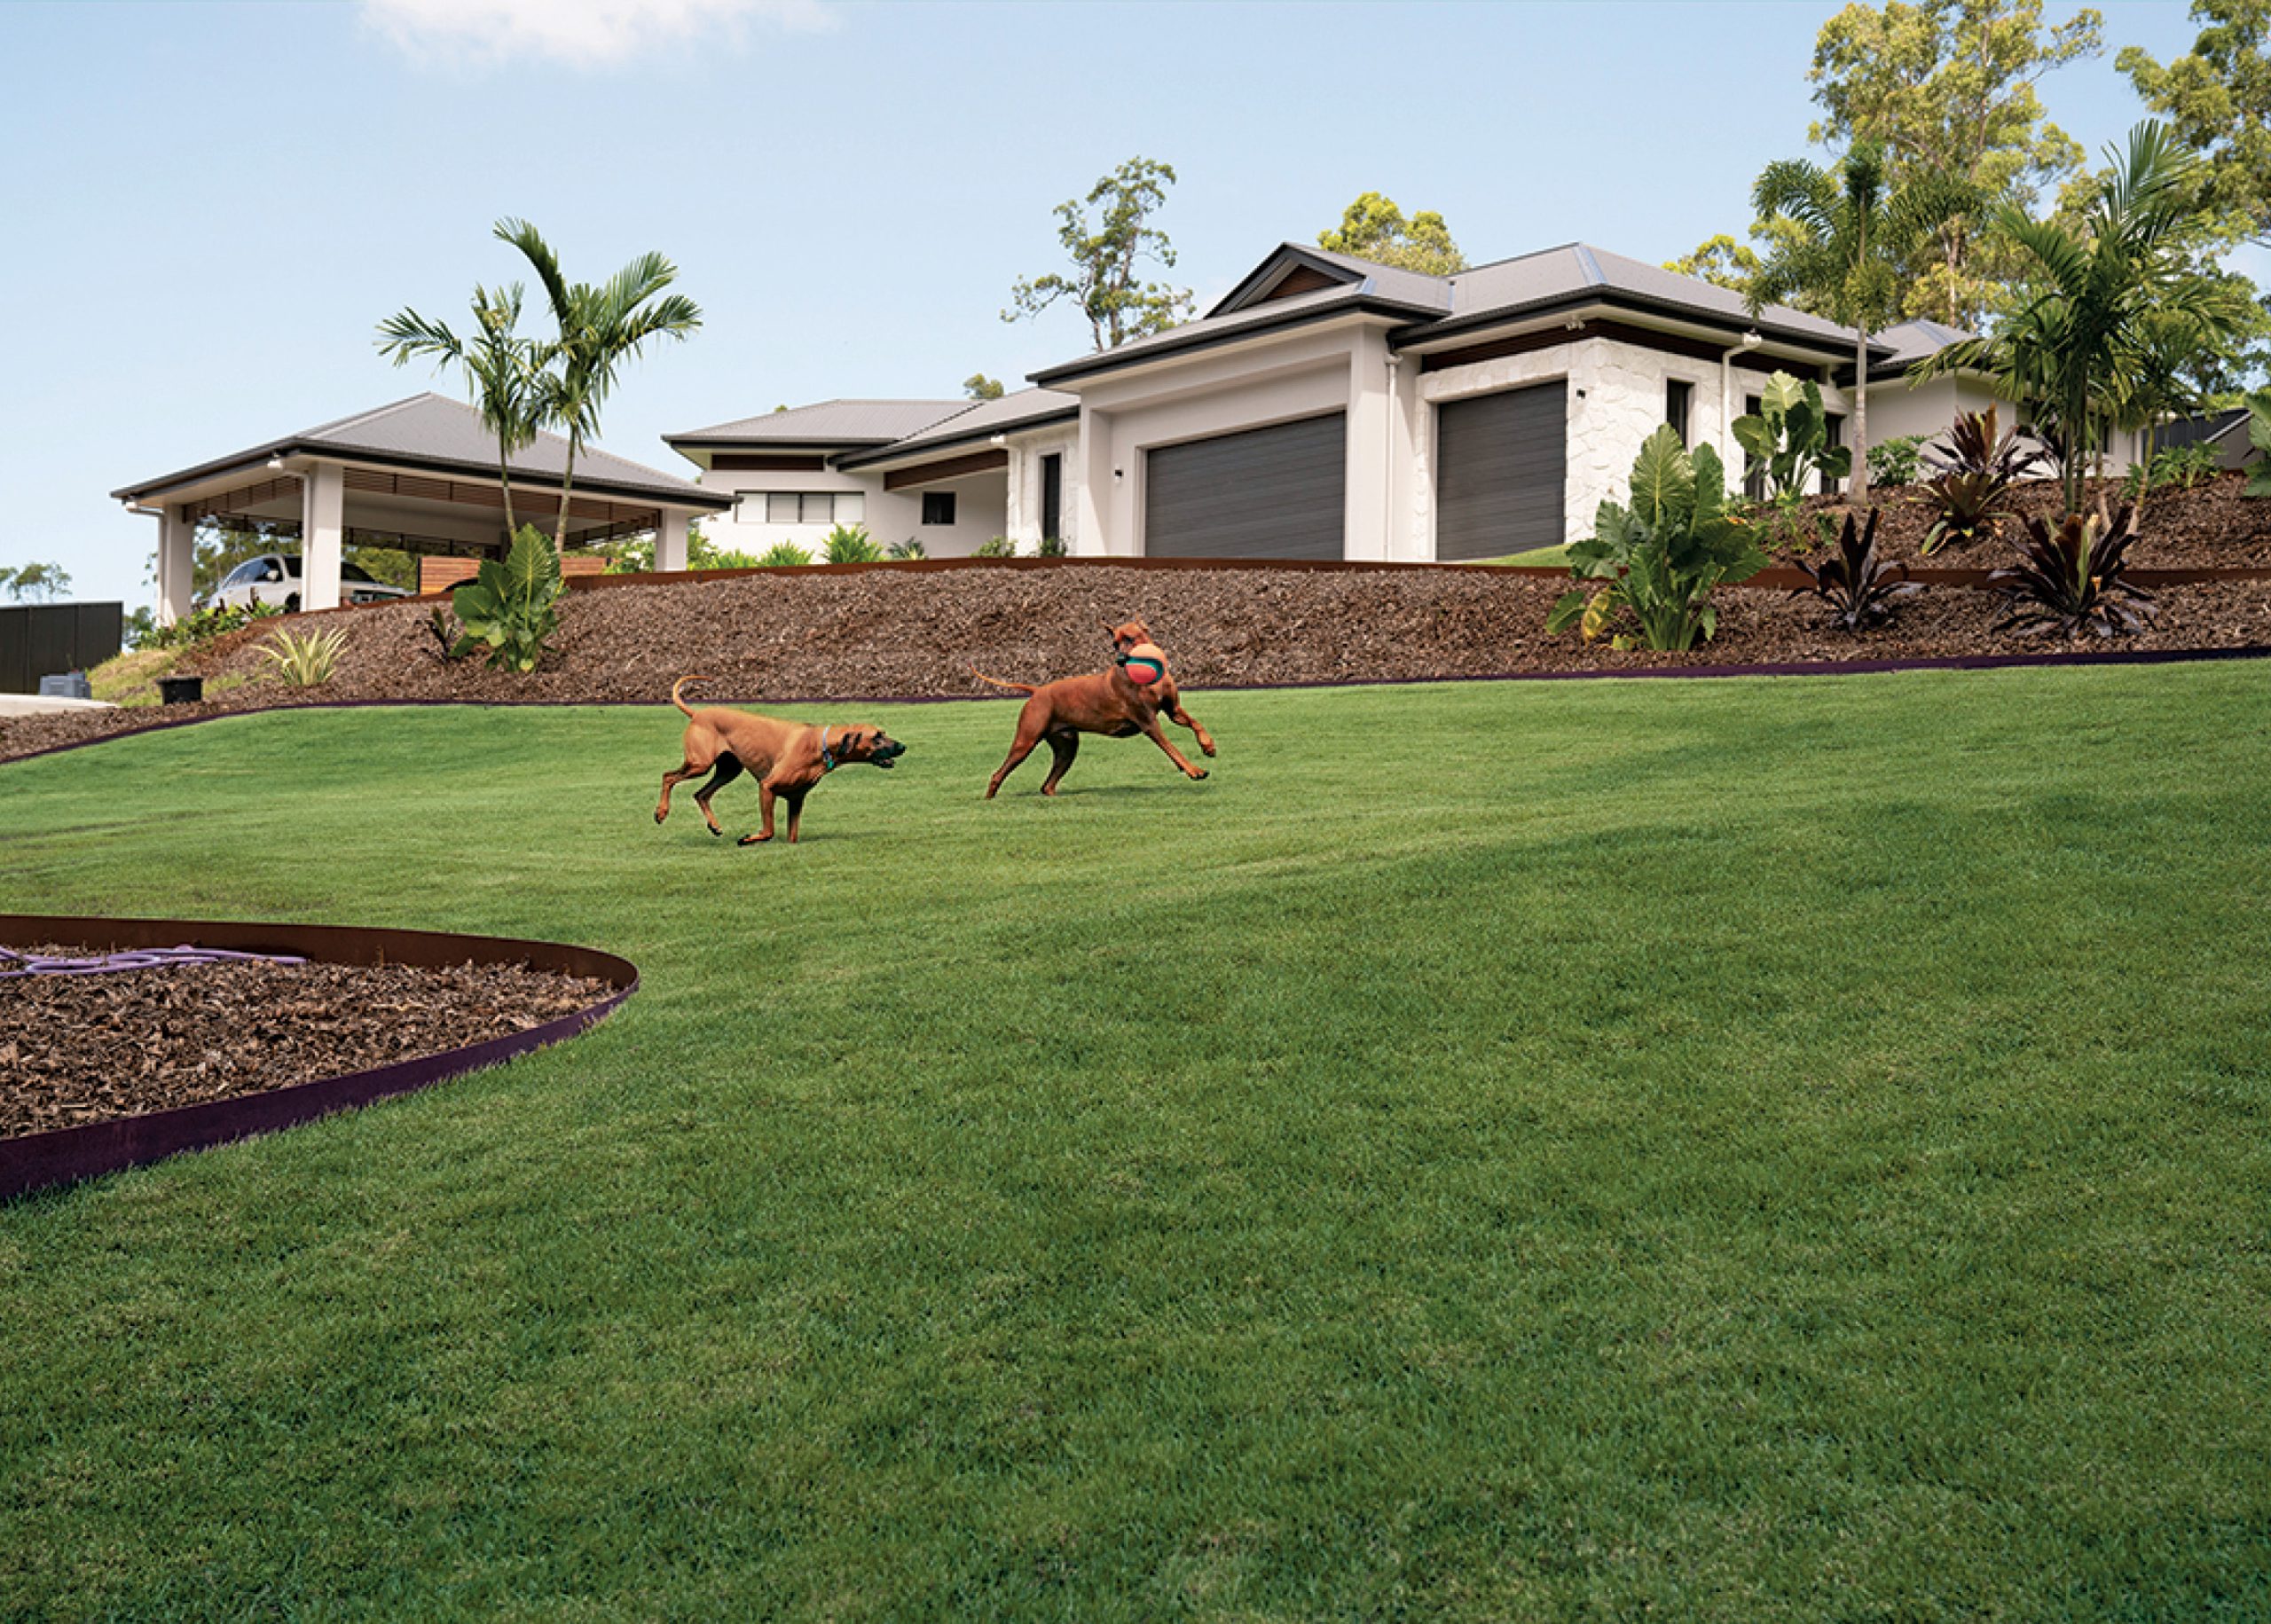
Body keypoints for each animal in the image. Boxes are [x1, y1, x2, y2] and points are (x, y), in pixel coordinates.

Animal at [649, 677, 903, 849]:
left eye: (883, 733)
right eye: (877, 737)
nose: (902, 747)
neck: (820, 745)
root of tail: (697, 714)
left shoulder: (796, 800)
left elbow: (792, 836)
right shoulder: (767, 787)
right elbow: (769, 831)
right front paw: (747, 839)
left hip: (729, 769)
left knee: (700, 794)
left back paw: (714, 825)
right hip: (700, 764)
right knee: (668, 776)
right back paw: (661, 812)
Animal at [976, 617, 1226, 799]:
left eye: (1130, 638)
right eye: (1114, 643)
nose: (1120, 659)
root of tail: (1038, 691)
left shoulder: (1173, 710)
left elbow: (1194, 722)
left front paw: (1208, 746)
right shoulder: (1148, 722)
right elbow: (1173, 749)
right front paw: (1194, 770)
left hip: (1067, 747)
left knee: (1047, 786)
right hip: (1026, 741)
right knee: (998, 774)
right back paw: (989, 800)